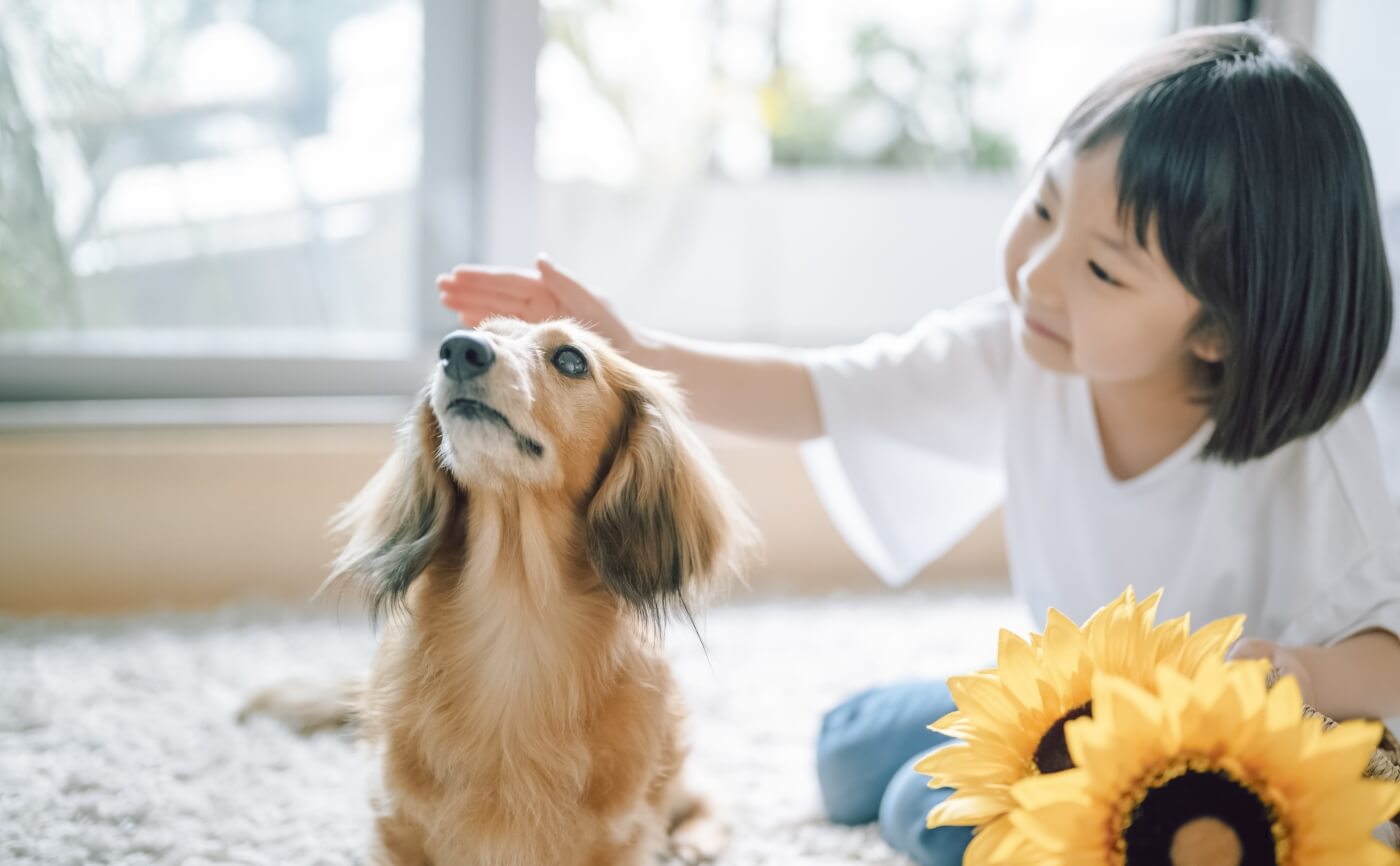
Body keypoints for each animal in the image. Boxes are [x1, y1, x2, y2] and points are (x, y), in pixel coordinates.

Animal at [246, 320, 761, 866]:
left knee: (701, 794)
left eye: (571, 360)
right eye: (475, 332)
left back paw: (693, 842)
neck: (516, 618)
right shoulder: (397, 829)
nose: (457, 349)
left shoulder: (621, 838)